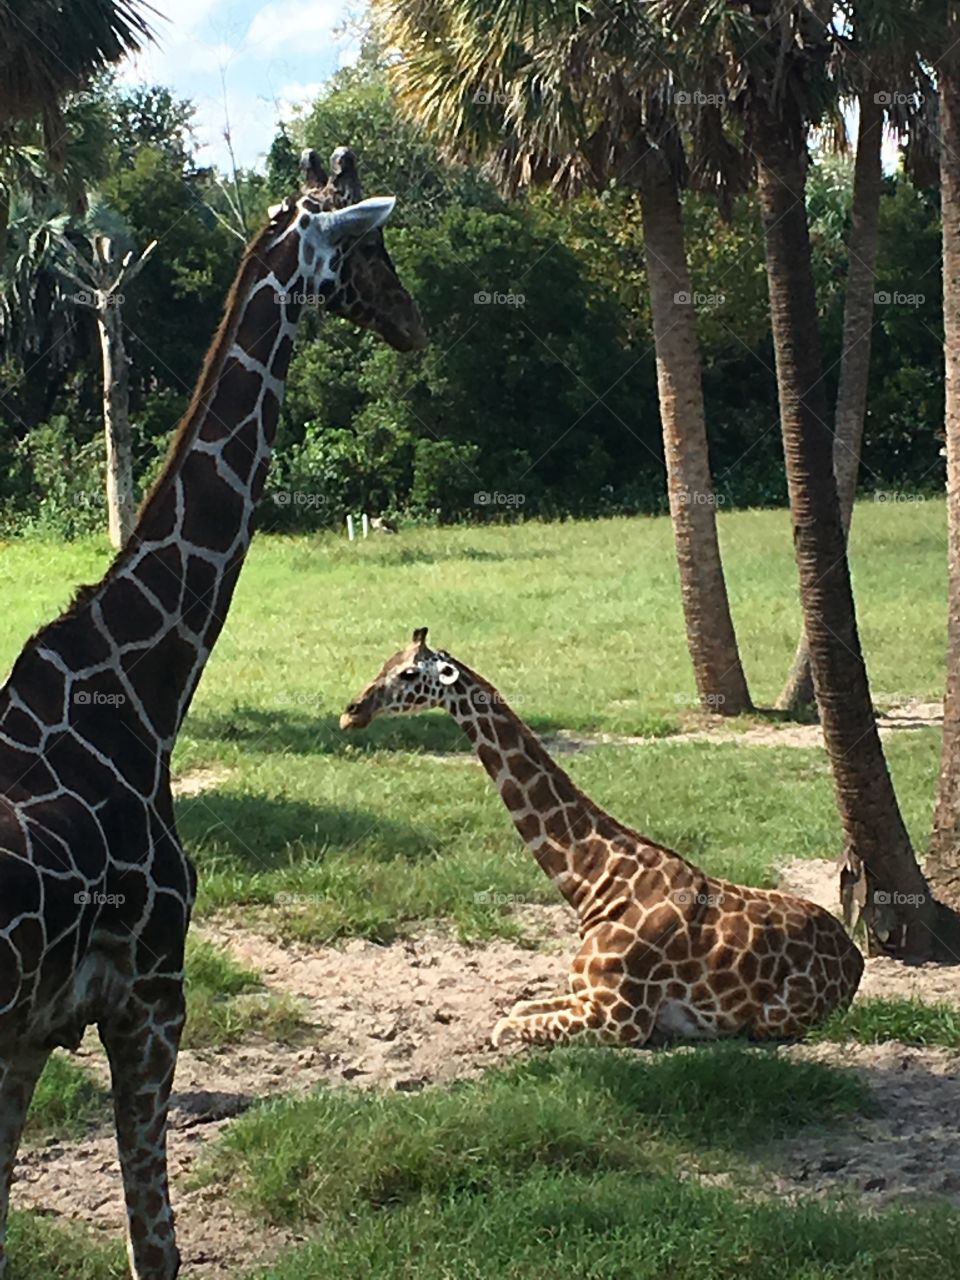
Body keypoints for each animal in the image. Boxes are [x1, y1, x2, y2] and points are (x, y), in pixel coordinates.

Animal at [0, 147, 425, 1279]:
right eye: (371, 248)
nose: (414, 323)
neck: (137, 697)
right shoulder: (152, 992)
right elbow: (157, 1248)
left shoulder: (30, 1031)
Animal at [341, 629, 864, 1048]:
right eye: (384, 663)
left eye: (408, 673)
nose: (351, 712)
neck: (595, 882)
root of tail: (855, 958)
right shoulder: (582, 995)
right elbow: (517, 1008)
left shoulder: (619, 1019)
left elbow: (503, 1028)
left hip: (775, 1018)